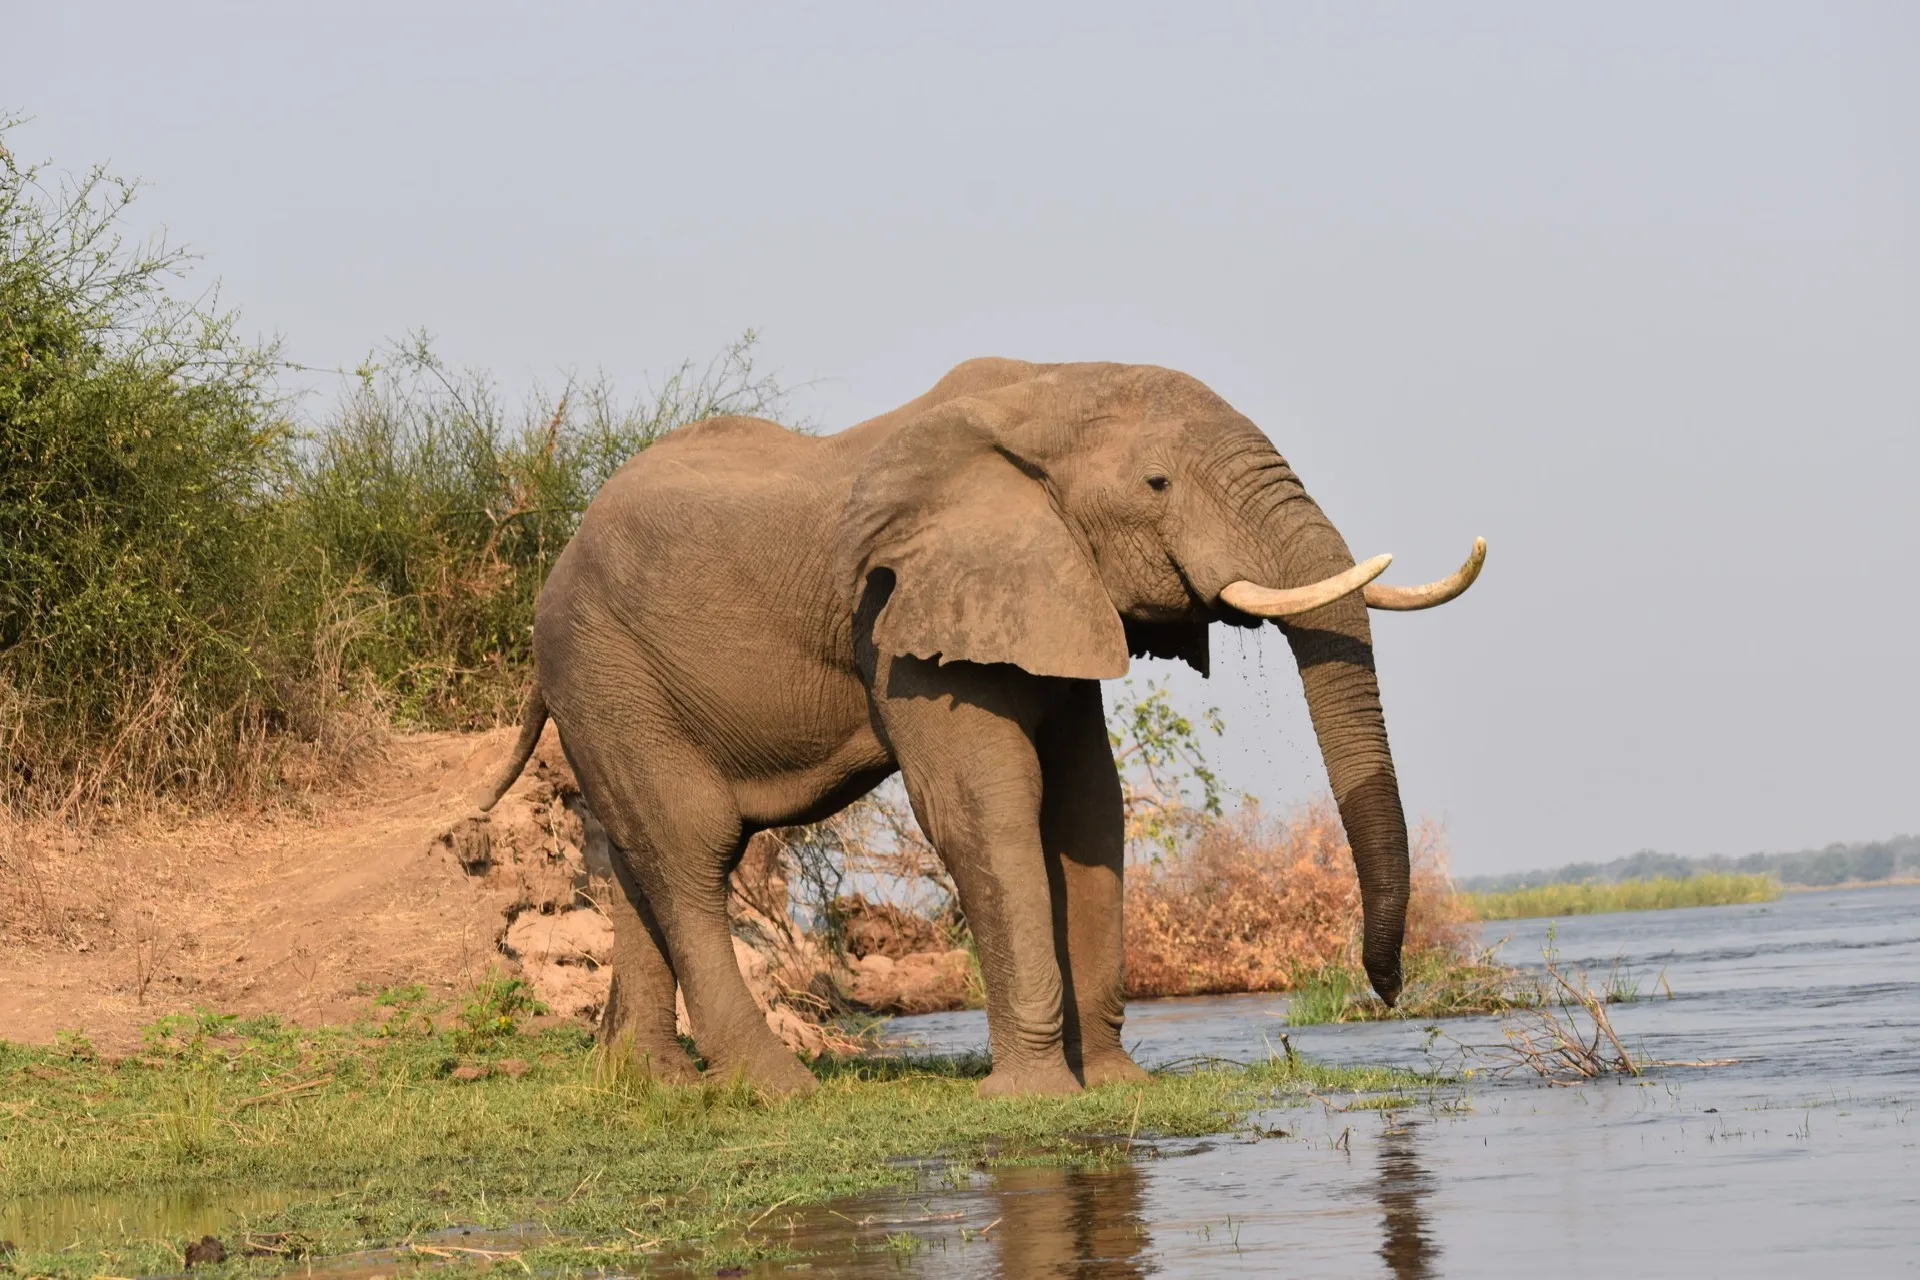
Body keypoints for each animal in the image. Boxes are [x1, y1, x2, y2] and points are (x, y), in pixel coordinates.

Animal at [477, 358, 1483, 1097]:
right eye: (1157, 482)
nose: (1386, 991)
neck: (1043, 395)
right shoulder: (903, 616)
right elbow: (986, 810)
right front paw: (1035, 1096)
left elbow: (1088, 809)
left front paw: (1115, 1086)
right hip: (602, 663)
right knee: (691, 850)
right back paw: (777, 1091)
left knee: (633, 854)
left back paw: (649, 1086)